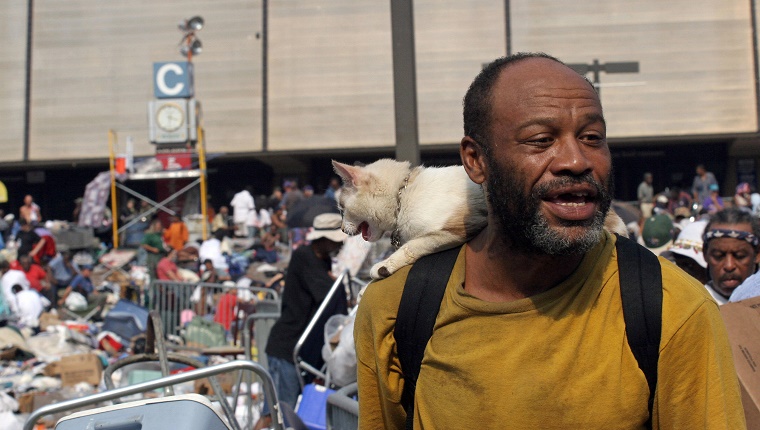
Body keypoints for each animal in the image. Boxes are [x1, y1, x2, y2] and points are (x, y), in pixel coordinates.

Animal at [334, 160, 628, 280]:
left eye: (340, 207)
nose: (341, 229)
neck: (403, 193)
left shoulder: (458, 227)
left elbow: (412, 246)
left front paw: (383, 268)